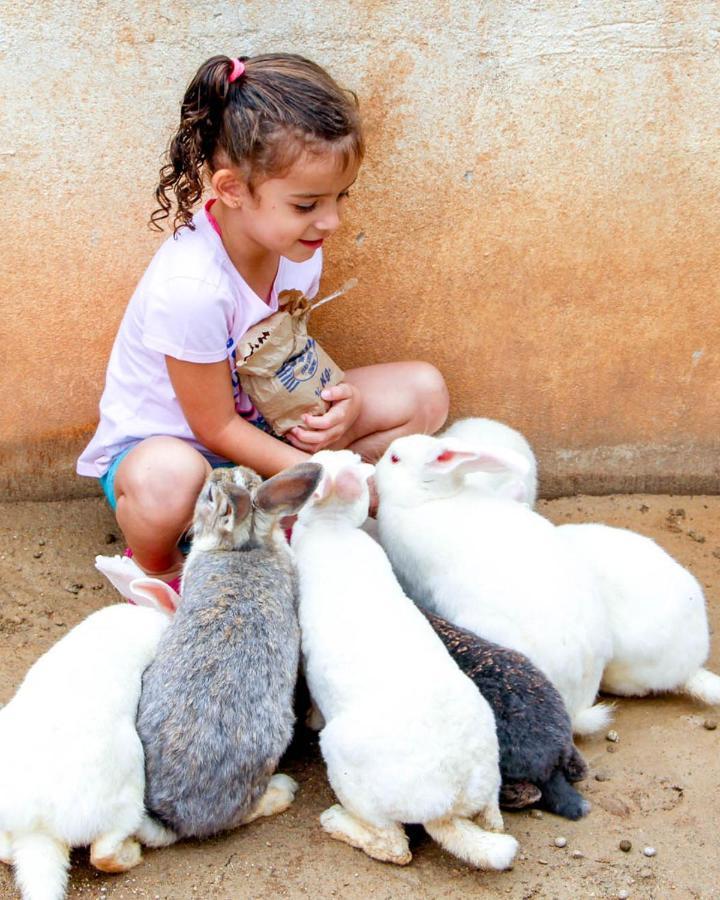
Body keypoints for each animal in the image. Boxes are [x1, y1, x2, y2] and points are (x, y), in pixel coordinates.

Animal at [292, 450, 516, 872]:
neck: (332, 528)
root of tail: (447, 803)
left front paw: (310, 718)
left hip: (350, 772)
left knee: (395, 847)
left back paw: (336, 822)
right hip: (488, 773)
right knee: (492, 820)